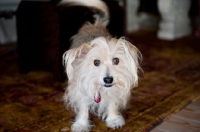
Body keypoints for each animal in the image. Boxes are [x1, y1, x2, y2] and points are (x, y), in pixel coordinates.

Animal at [59, 0, 142, 131]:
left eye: (116, 60)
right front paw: (81, 124)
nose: (108, 79)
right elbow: (83, 109)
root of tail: (95, 24)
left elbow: (112, 103)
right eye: (96, 62)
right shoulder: (81, 89)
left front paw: (113, 119)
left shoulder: (114, 90)